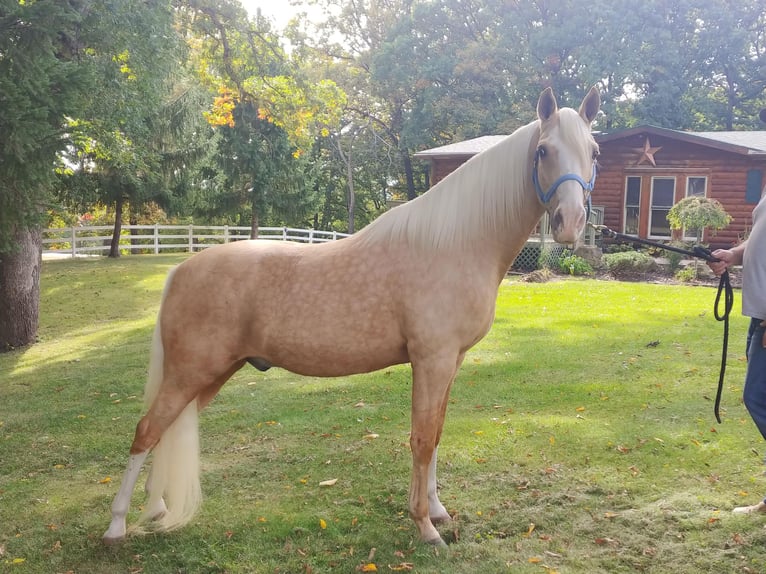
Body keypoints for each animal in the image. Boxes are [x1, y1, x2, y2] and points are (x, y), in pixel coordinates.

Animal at [105, 86, 604, 548]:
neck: (454, 244)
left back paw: (156, 509)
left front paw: (437, 511)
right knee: (146, 431)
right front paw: (425, 527)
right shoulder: (432, 360)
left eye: (594, 152)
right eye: (543, 150)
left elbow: (437, 435)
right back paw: (116, 526)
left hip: (210, 375)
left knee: (166, 431)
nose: (570, 223)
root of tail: (180, 270)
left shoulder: (450, 362)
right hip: (190, 372)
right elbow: (422, 439)